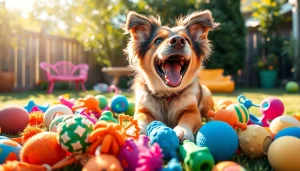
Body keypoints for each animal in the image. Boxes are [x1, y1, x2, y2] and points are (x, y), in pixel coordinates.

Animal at [123, 11, 219, 142]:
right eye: (158, 41)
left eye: (187, 40)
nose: (178, 40)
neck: (166, 94)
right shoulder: (143, 108)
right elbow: (140, 117)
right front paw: (134, 129)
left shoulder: (192, 111)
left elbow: (187, 118)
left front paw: (182, 131)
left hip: (206, 95)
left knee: (210, 113)